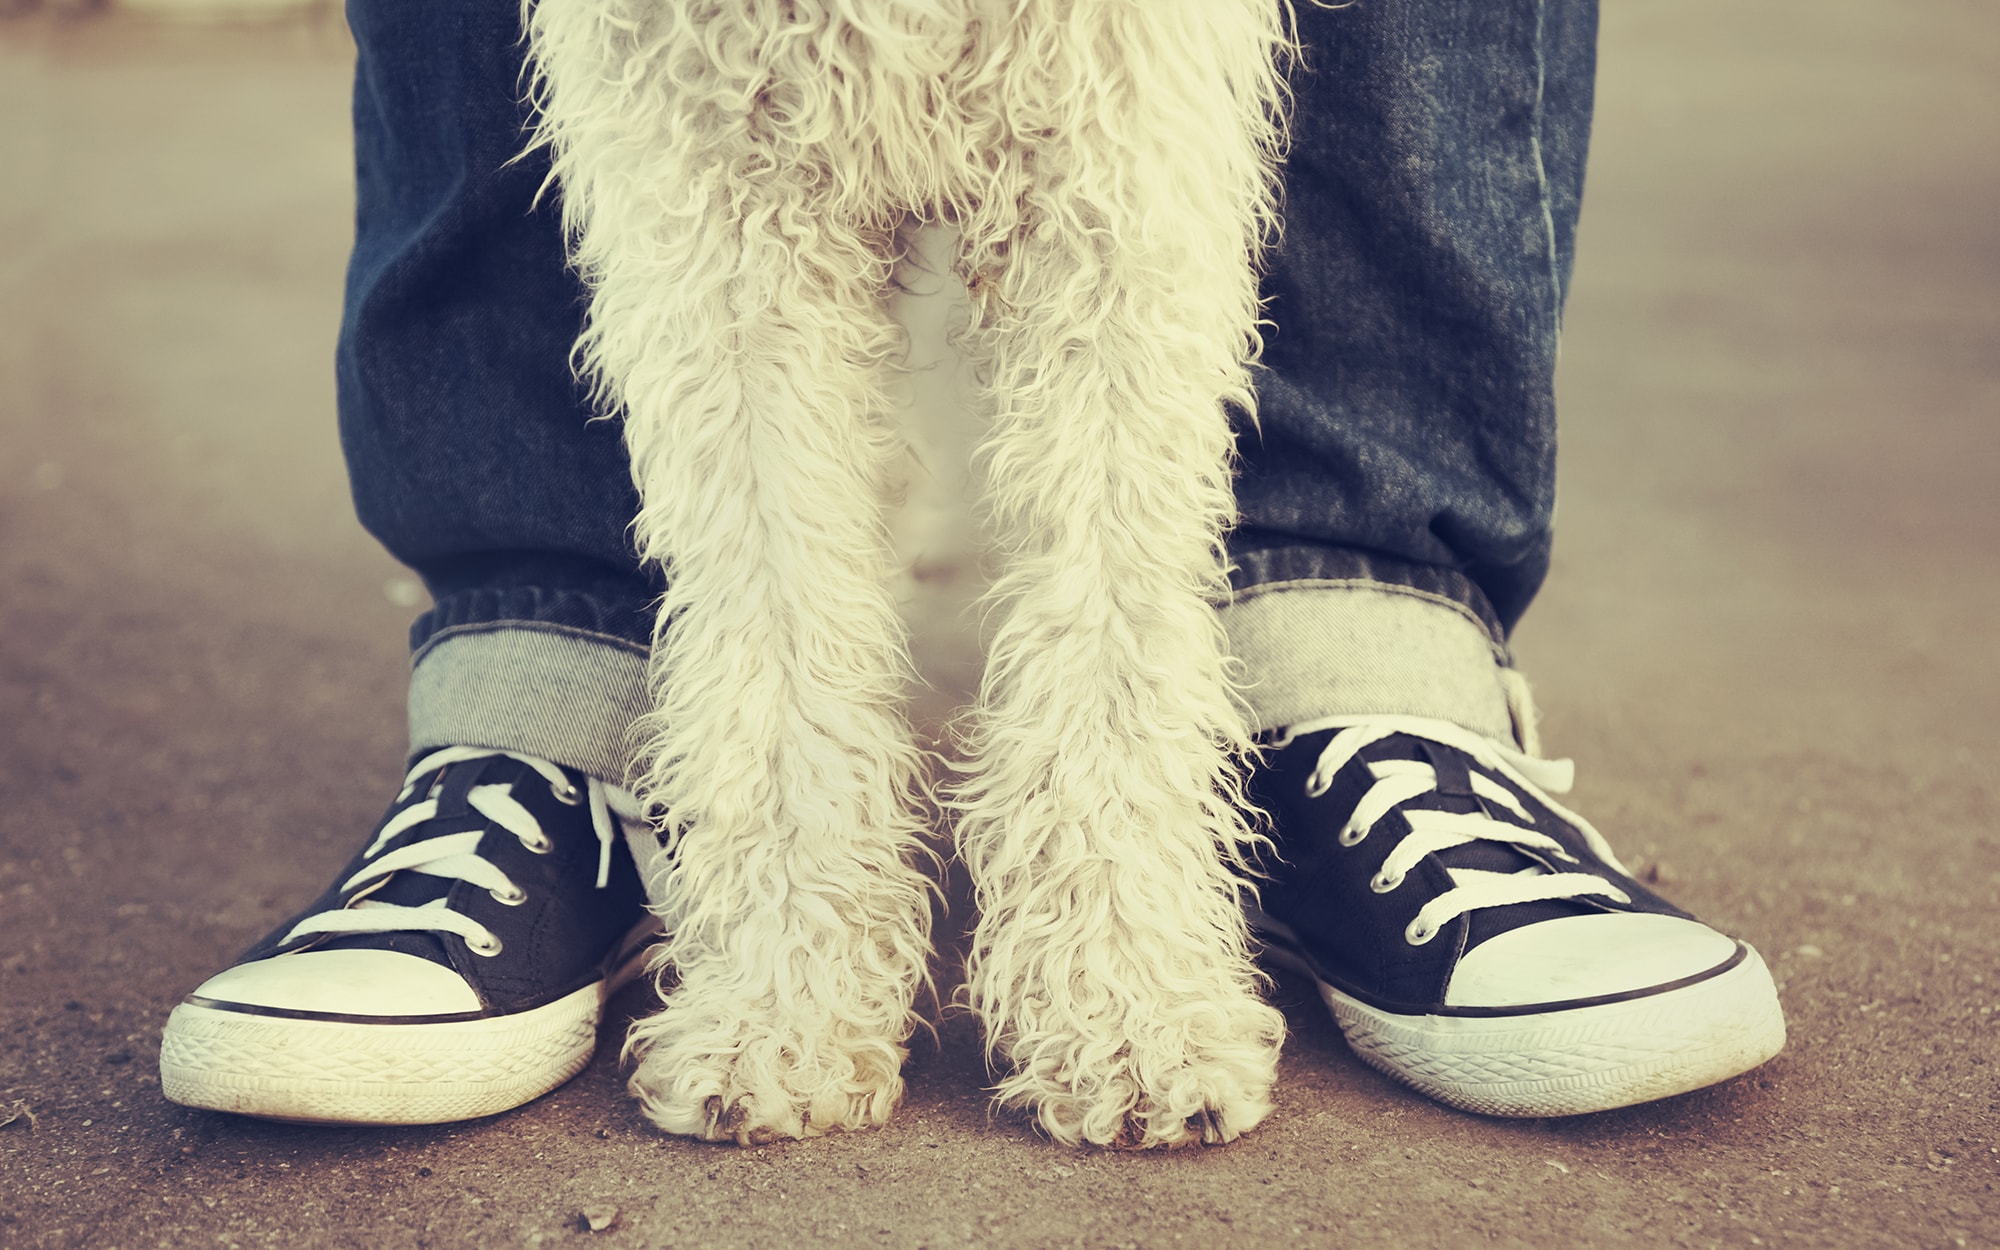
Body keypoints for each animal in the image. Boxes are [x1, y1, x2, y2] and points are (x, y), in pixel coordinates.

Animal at [520, 2, 1296, 1152]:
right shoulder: (718, 183)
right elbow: (778, 621)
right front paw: (781, 1007)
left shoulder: (1115, 156)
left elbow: (1111, 623)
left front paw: (1127, 1010)